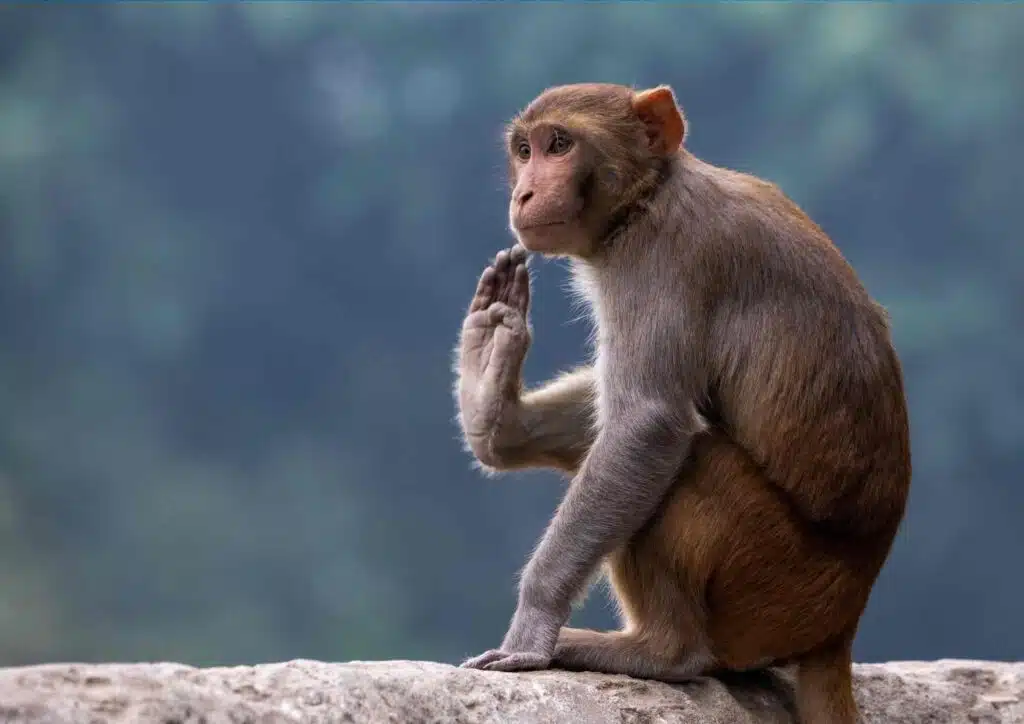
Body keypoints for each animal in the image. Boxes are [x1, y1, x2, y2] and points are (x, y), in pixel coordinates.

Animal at [453, 83, 911, 724]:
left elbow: (647, 424)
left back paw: (660, 652)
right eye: (524, 151)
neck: (648, 197)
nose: (524, 192)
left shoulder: (661, 261)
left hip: (777, 587)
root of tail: (842, 623)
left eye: (559, 144)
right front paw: (495, 399)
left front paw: (532, 628)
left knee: (692, 459)